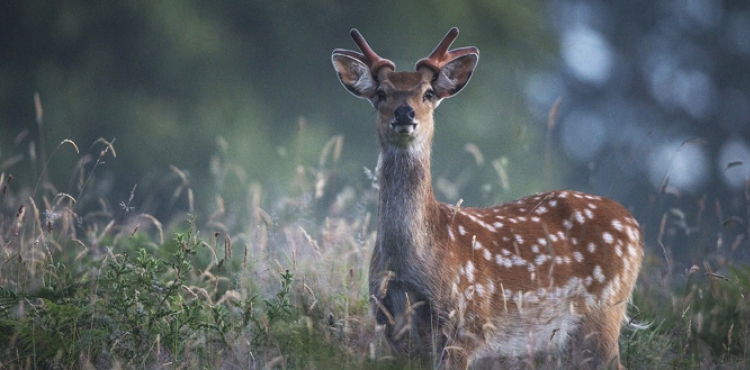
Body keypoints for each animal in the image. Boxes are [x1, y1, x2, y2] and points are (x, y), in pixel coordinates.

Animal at [334, 27, 648, 368]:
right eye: (380, 93)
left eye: (428, 93)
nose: (405, 112)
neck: (409, 264)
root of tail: (633, 224)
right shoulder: (393, 326)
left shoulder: (467, 321)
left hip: (605, 309)